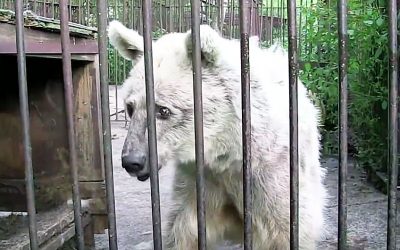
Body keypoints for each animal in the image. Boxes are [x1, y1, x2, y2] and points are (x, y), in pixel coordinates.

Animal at [108, 20, 326, 250]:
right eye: (130, 107)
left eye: (163, 110)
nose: (132, 161)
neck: (227, 150)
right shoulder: (200, 178)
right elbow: (182, 228)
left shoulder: (271, 174)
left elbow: (284, 229)